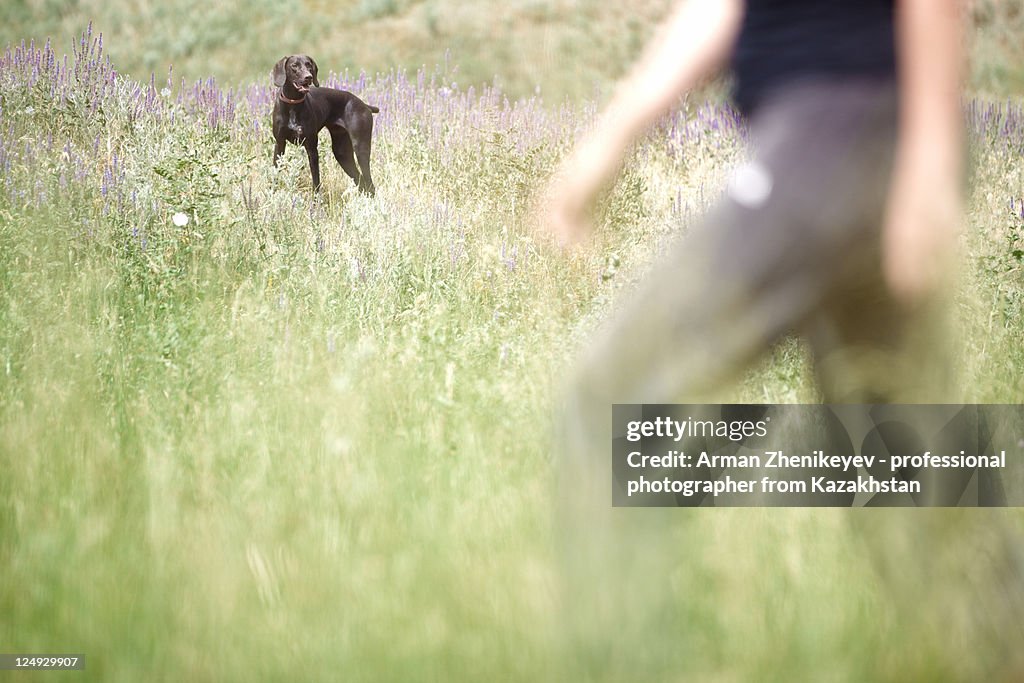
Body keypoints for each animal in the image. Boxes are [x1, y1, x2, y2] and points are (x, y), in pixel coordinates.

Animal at [272, 55, 380, 194]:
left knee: (369, 183)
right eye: (294, 65)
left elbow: (316, 180)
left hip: (361, 149)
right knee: (361, 181)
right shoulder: (280, 144)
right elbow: (275, 173)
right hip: (342, 153)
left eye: (308, 65)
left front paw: (316, 199)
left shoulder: (312, 148)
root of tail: (364, 105)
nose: (308, 77)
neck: (293, 104)